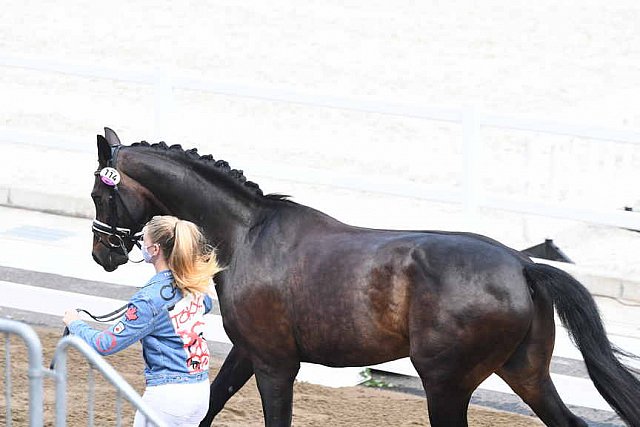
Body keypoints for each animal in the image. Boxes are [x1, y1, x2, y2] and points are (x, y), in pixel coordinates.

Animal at [91, 128, 640, 427]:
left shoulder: (274, 363)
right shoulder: (252, 352)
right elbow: (211, 402)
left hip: (445, 381)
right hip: (524, 372)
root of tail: (523, 265)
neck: (245, 235)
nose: (102, 254)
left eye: (100, 195)